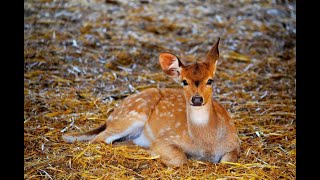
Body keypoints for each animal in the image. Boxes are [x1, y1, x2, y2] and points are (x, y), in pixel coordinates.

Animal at [62, 38, 240, 167]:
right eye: (184, 81)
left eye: (210, 80)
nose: (197, 99)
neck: (207, 145)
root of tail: (110, 118)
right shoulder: (165, 138)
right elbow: (180, 159)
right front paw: (156, 154)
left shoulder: (235, 143)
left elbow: (227, 161)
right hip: (131, 115)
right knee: (99, 139)